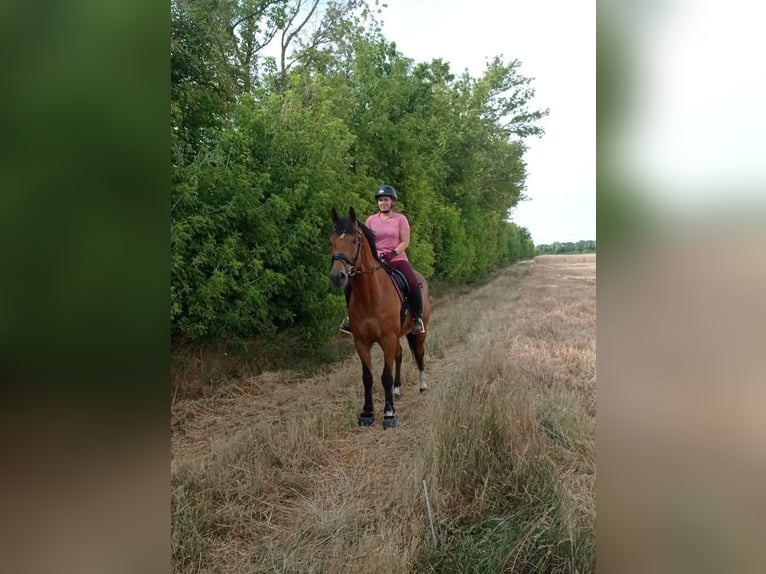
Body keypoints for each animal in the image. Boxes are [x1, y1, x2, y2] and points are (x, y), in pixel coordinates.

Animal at [328, 209, 428, 430]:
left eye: (354, 241)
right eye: (331, 241)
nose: (337, 277)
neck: (371, 296)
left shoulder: (387, 339)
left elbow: (385, 377)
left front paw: (389, 415)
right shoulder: (361, 342)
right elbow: (367, 377)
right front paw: (367, 413)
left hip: (418, 333)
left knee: (419, 354)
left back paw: (423, 386)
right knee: (400, 355)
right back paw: (397, 390)